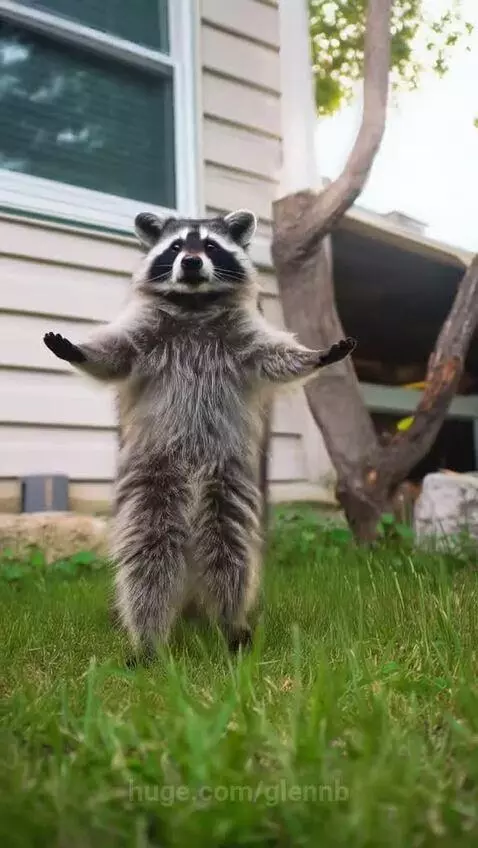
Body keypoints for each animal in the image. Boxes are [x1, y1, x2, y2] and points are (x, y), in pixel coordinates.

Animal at [43, 209, 356, 660]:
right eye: (175, 247)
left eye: (209, 245)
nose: (190, 262)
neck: (194, 303)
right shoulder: (145, 331)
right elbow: (115, 355)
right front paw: (79, 351)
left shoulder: (245, 338)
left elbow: (276, 357)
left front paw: (315, 356)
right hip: (151, 475)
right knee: (149, 558)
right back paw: (149, 637)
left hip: (228, 478)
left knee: (229, 553)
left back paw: (230, 624)